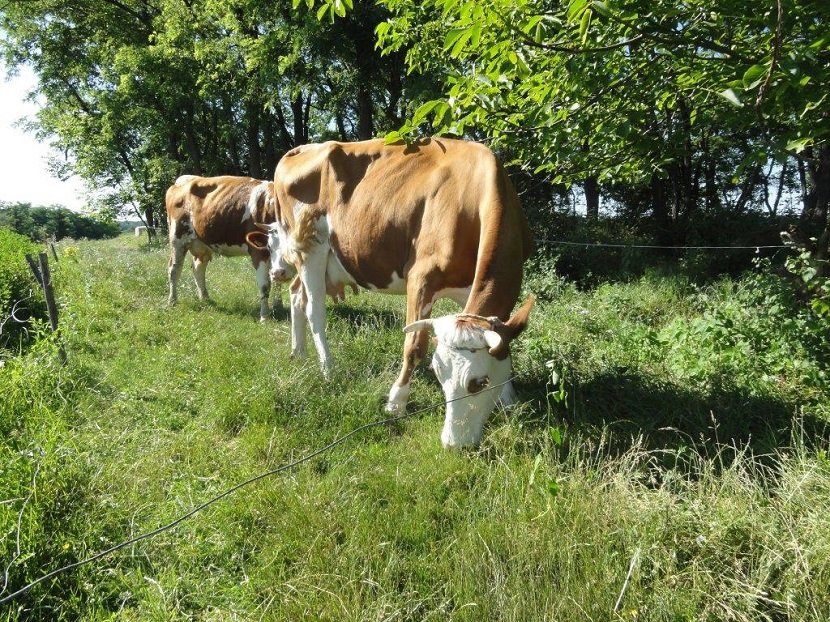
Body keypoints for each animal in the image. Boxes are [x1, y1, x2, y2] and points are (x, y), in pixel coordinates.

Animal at [167, 174, 282, 324]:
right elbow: (265, 285)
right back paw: (172, 301)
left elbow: (277, 280)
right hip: (178, 239)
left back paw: (205, 298)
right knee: (174, 269)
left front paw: (279, 307)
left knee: (198, 268)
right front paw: (264, 317)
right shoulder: (259, 251)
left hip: (202, 244)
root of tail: (185, 179)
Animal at [254, 137, 536, 448]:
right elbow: (414, 346)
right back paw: (329, 370)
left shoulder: (468, 292)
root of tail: (302, 149)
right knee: (315, 311)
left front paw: (509, 400)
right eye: (438, 372)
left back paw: (299, 353)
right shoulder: (421, 276)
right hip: (310, 247)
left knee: (296, 295)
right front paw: (396, 402)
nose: (452, 443)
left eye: (480, 382)